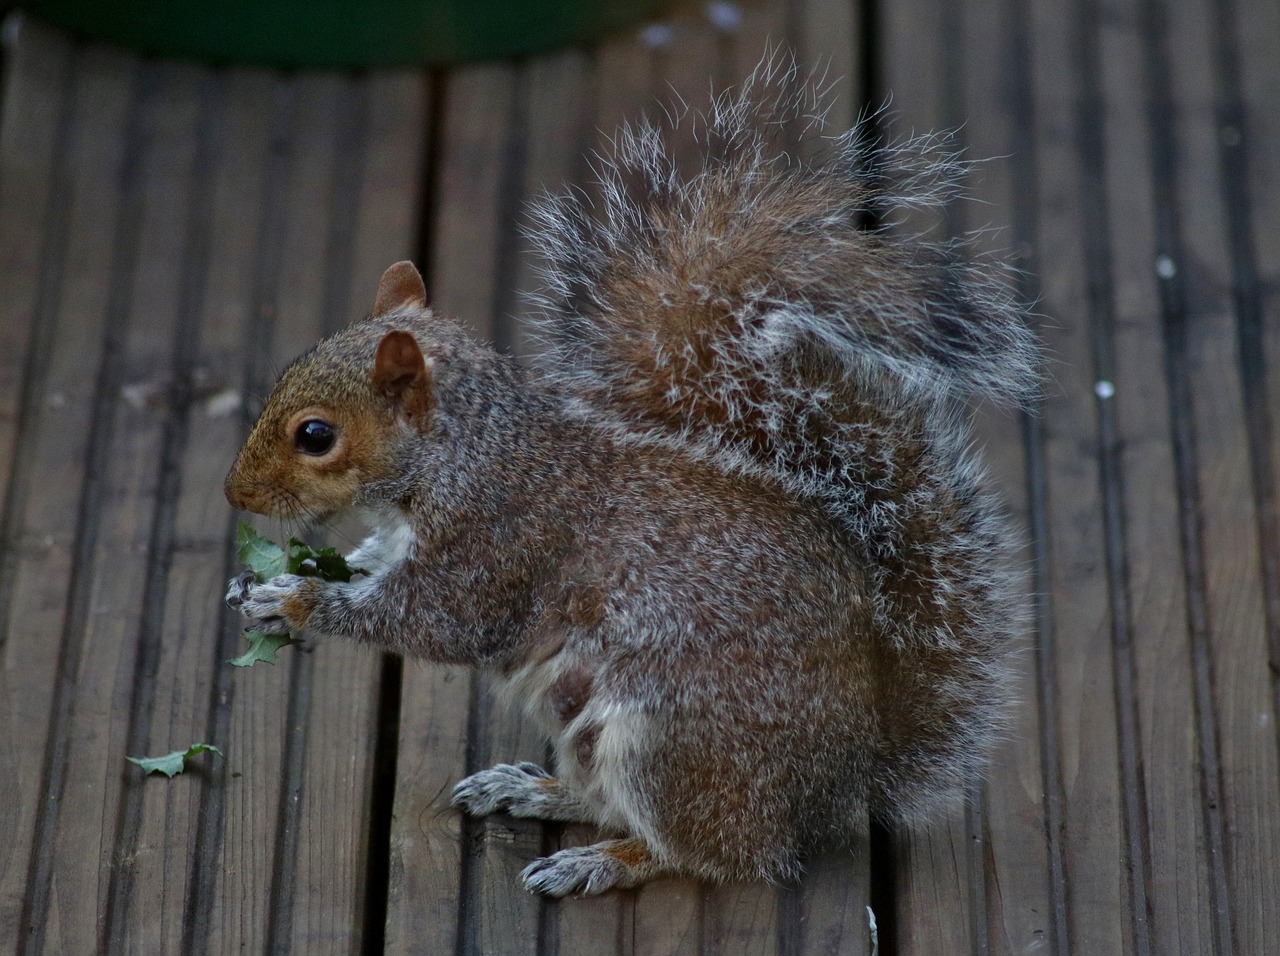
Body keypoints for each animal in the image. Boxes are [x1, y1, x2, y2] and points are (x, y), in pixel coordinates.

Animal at [222, 67, 1039, 895]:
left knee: (718, 854)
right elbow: (370, 565)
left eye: (316, 435)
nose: (236, 495)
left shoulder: (498, 545)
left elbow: (433, 620)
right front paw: (260, 587)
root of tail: (844, 781)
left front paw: (296, 598)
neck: (467, 450)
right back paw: (535, 790)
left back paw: (604, 861)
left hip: (665, 739)